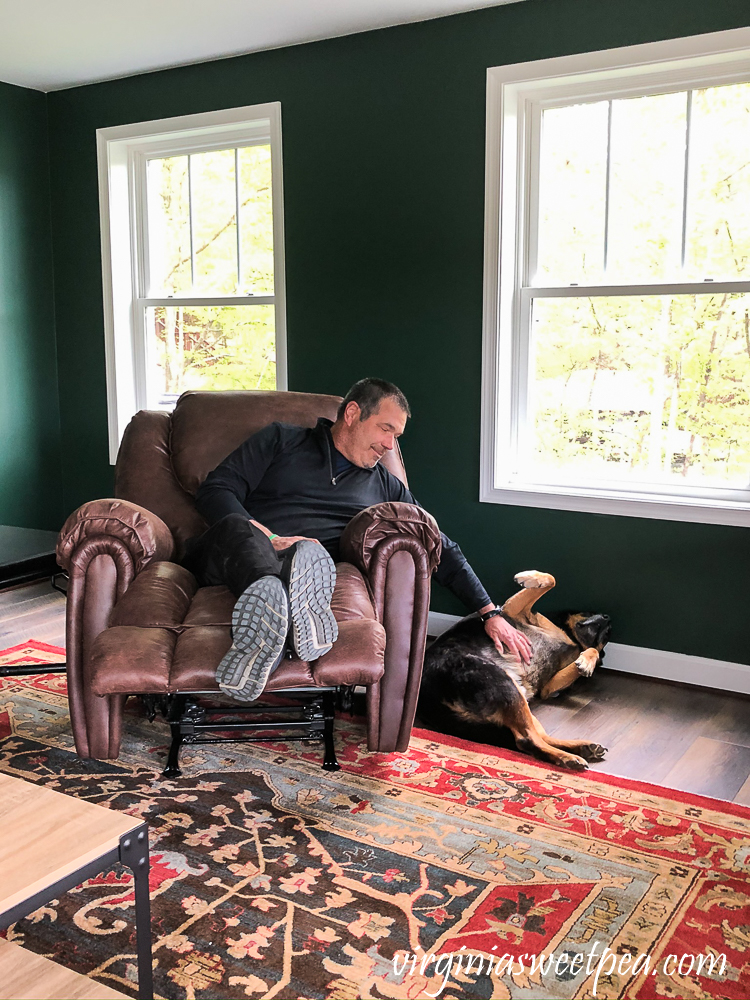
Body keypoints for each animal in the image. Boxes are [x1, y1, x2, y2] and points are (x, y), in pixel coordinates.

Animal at [420, 572, 612, 772]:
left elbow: (592, 651)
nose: (608, 618)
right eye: (589, 613)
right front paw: (530, 578)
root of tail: (427, 700)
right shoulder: (511, 611)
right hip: (504, 684)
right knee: (527, 739)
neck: (572, 637)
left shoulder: (548, 687)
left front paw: (586, 663)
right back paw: (568, 756)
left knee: (533, 738)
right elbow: (551, 580)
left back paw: (579, 749)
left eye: (608, 634)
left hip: (514, 693)